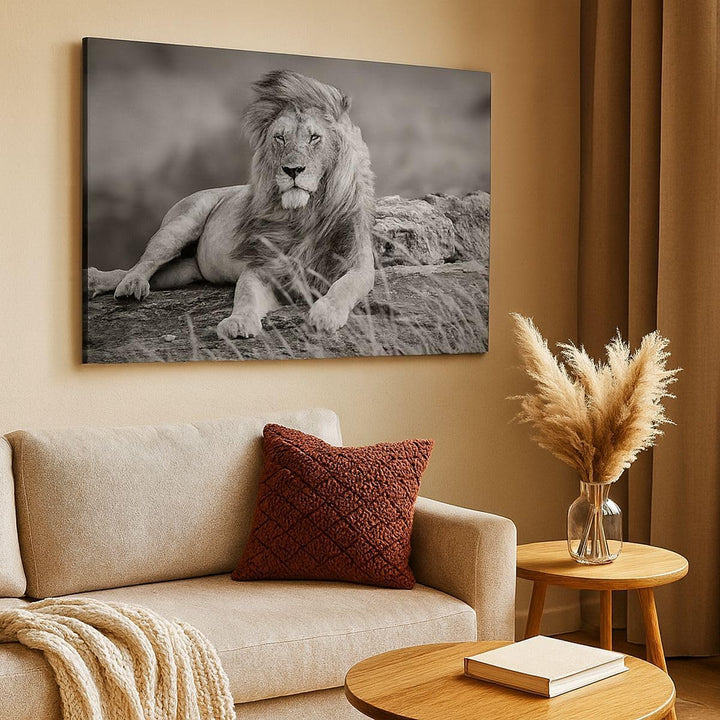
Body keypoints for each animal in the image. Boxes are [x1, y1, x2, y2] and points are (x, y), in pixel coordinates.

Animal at [87, 70, 376, 338]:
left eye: (315, 137)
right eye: (279, 138)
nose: (292, 170)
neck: (304, 215)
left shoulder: (359, 264)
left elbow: (344, 286)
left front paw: (326, 314)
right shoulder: (261, 266)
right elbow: (245, 293)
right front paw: (238, 322)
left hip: (184, 272)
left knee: (149, 273)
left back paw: (99, 281)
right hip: (180, 225)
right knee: (143, 263)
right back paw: (126, 284)